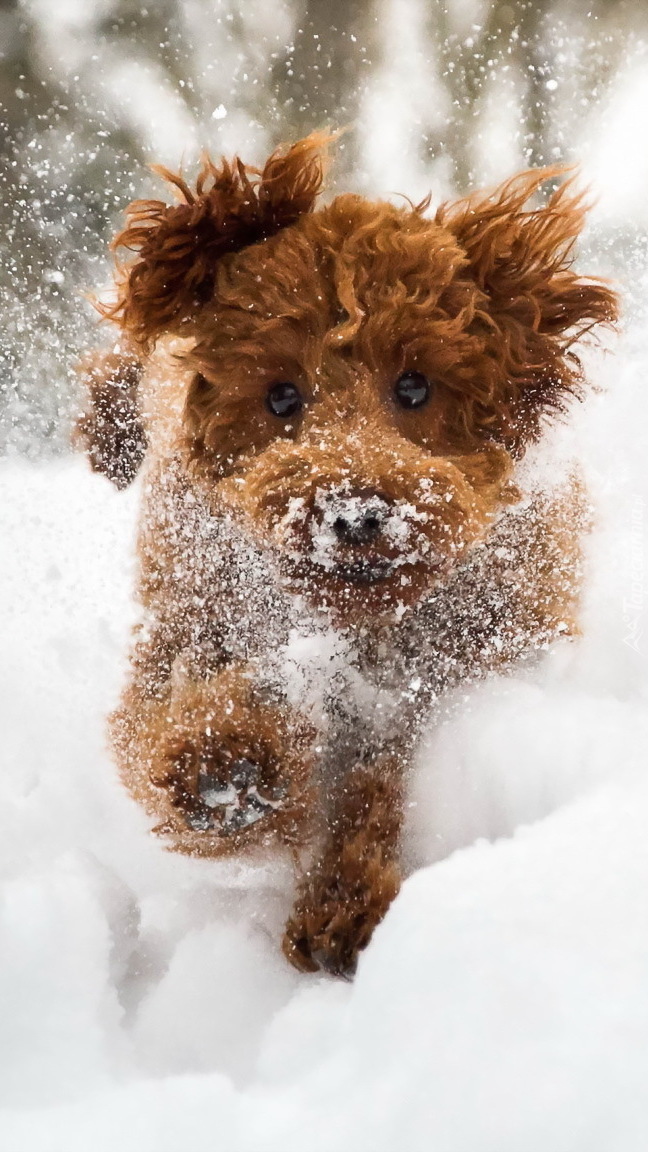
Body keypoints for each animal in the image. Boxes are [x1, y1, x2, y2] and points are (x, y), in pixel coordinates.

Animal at [76, 134, 613, 976]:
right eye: (281, 396)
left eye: (416, 386)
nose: (356, 513)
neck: (358, 628)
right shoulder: (194, 620)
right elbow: (157, 724)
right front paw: (227, 770)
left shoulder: (447, 673)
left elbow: (378, 785)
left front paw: (344, 905)